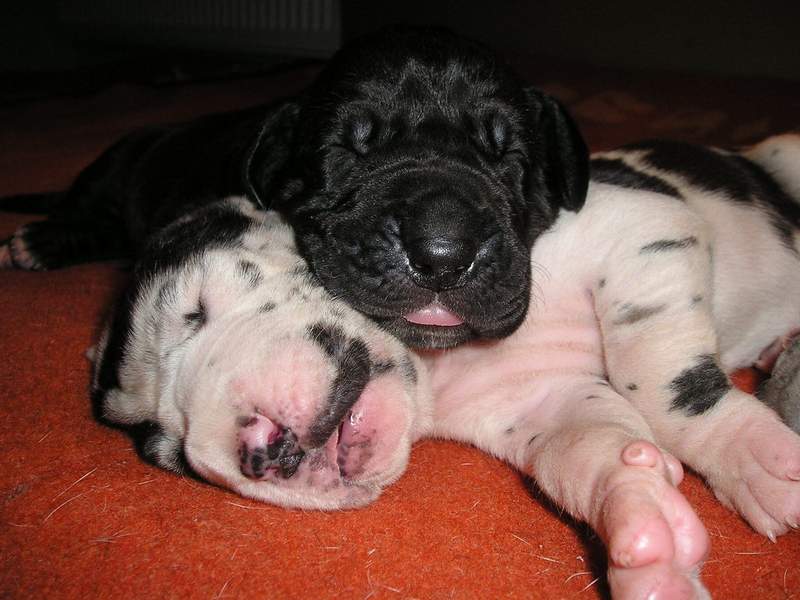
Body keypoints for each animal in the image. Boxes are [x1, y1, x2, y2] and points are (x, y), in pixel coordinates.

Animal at [91, 134, 800, 600]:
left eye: (195, 310)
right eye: (172, 455)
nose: (259, 451)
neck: (442, 363)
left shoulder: (644, 232)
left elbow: (662, 387)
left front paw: (757, 459)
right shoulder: (548, 404)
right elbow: (590, 450)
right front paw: (646, 539)